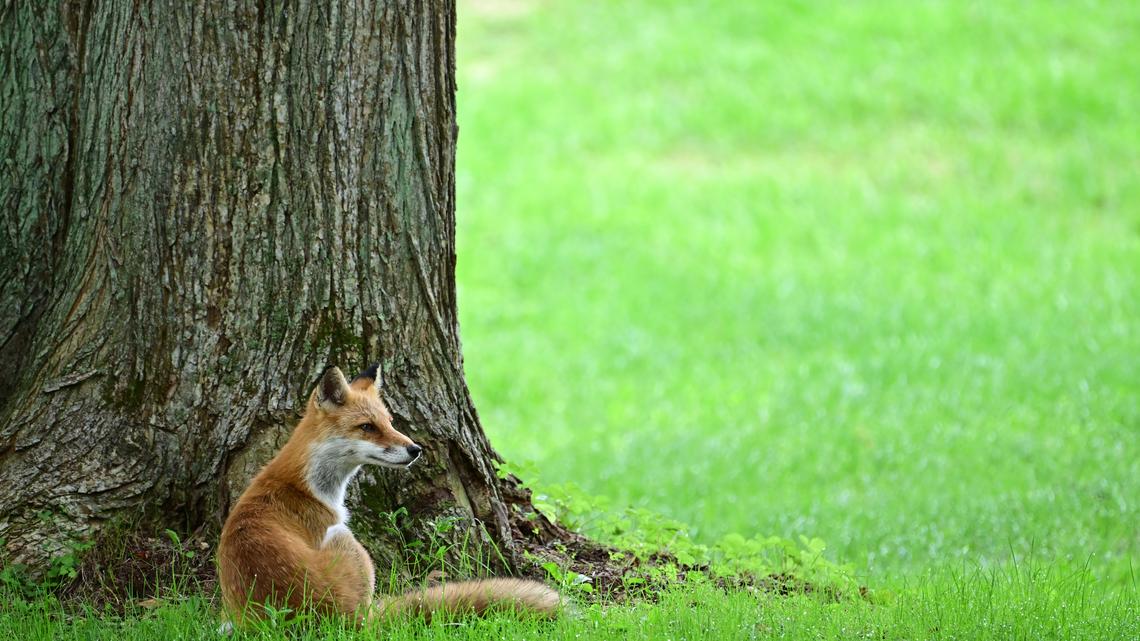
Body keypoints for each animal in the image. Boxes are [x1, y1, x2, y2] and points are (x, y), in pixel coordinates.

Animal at [217, 364, 560, 627]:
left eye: (390, 422)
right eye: (367, 427)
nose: (415, 449)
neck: (305, 486)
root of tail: (344, 622)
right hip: (349, 544)